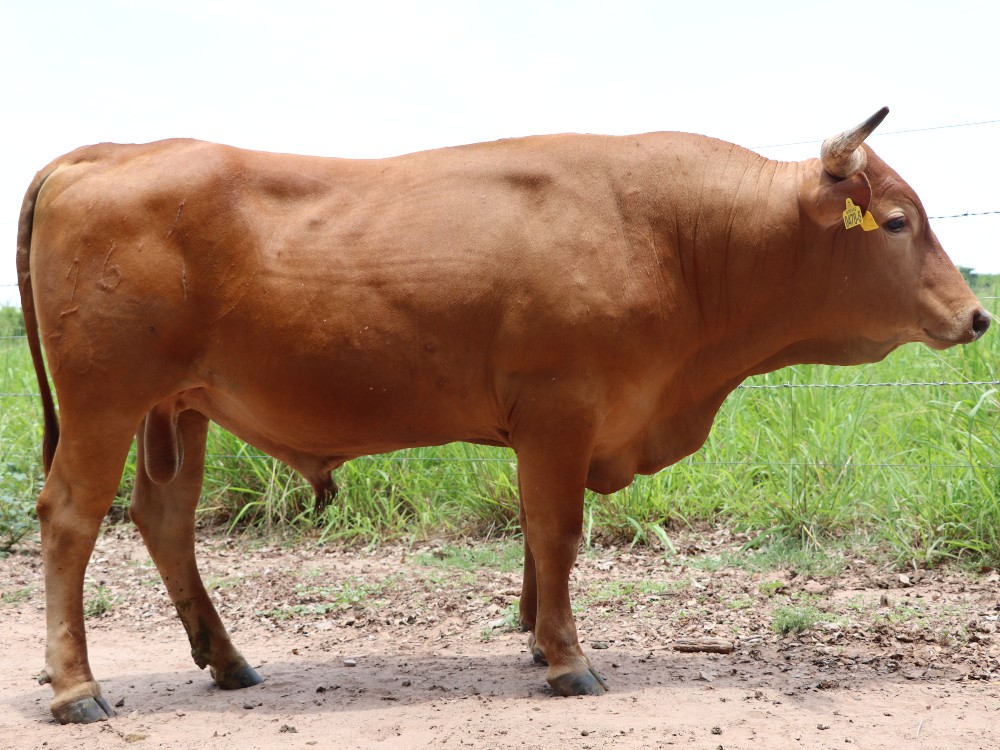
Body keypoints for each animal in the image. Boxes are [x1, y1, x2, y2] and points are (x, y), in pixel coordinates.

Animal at [17, 106, 992, 724]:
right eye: (896, 222)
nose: (976, 316)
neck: (676, 238)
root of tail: (107, 151)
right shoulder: (561, 415)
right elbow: (557, 532)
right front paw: (567, 658)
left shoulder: (547, 427)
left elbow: (535, 534)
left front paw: (533, 637)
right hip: (106, 402)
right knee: (69, 520)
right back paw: (76, 689)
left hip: (178, 409)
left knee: (164, 520)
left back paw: (225, 660)